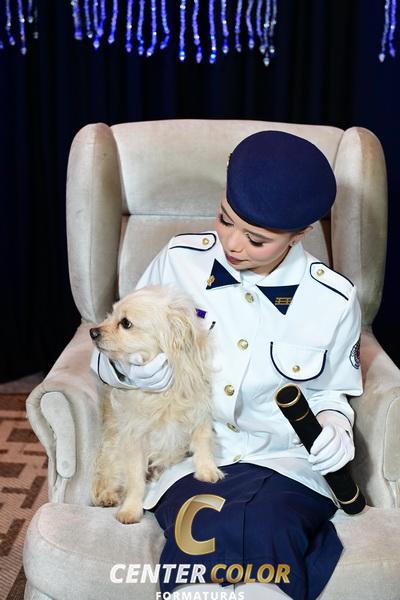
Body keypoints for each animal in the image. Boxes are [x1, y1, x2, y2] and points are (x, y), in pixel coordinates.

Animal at [89, 284, 224, 524]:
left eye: (125, 323)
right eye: (111, 314)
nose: (92, 332)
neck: (163, 396)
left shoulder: (199, 415)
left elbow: (203, 442)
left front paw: (207, 470)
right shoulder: (134, 438)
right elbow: (135, 480)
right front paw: (131, 510)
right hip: (114, 453)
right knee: (111, 477)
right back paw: (108, 496)